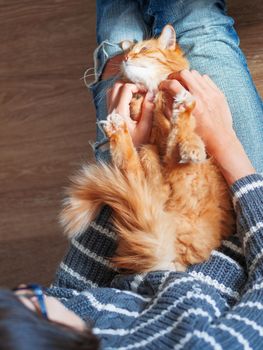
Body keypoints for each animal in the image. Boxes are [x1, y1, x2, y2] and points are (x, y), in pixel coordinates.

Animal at [60, 24, 236, 274]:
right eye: (127, 54)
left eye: (143, 50)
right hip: (157, 163)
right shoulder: (149, 134)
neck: (154, 93)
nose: (126, 59)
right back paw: (122, 127)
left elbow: (191, 131)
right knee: (141, 168)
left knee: (165, 151)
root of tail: (175, 260)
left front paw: (192, 144)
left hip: (182, 171)